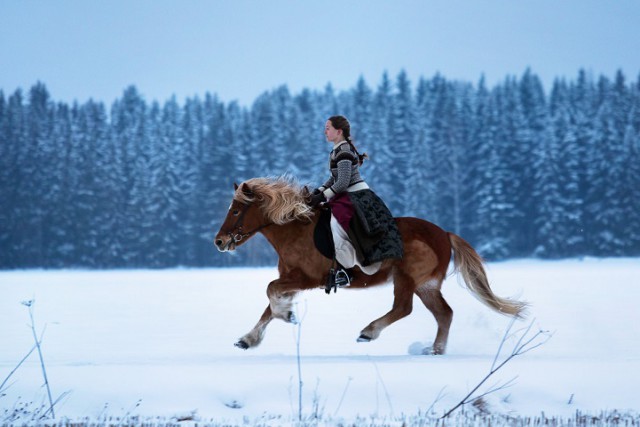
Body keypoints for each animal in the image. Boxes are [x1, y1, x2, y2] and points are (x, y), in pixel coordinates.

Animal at [215, 177, 524, 354]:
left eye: (236, 210)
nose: (219, 241)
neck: (294, 230)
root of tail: (445, 234)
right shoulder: (291, 279)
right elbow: (270, 303)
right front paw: (249, 338)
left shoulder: (308, 278)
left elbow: (270, 291)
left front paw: (285, 315)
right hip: (426, 284)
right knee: (444, 314)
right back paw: (435, 351)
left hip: (406, 277)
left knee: (404, 308)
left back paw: (369, 332)